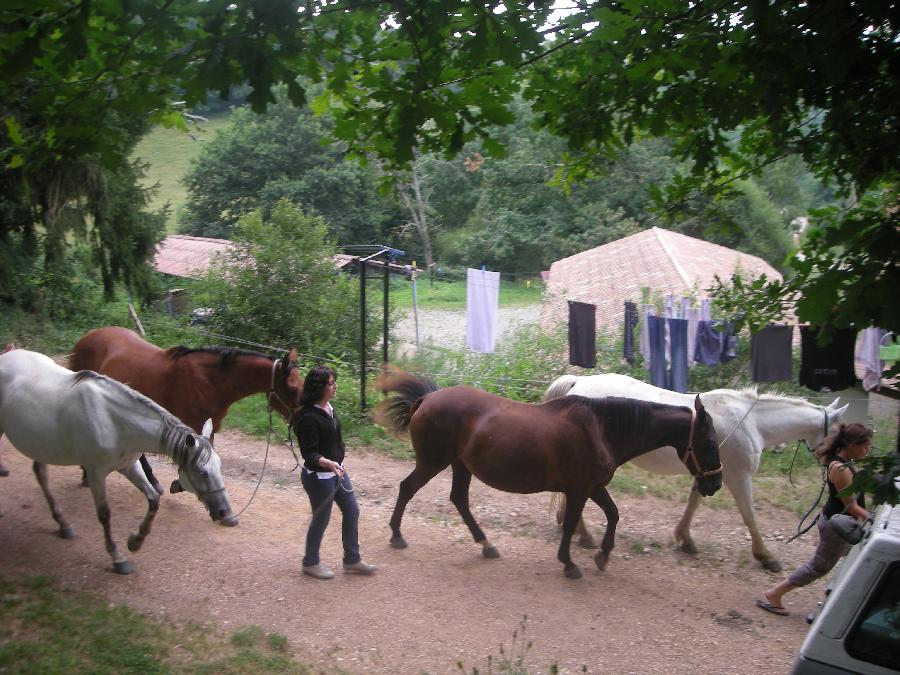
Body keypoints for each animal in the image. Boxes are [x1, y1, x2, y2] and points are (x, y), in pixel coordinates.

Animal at [0, 348, 232, 576]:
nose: (225, 512)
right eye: (202, 472)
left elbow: (154, 499)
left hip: (42, 445)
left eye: (219, 467)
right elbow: (104, 515)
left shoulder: (129, 466)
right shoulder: (95, 473)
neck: (113, 422)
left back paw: (63, 524)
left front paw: (136, 541)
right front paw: (118, 558)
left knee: (40, 473)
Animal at [69, 328, 302, 524]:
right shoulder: (195, 427)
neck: (210, 381)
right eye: (292, 389)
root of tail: (87, 337)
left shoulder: (208, 428)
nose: (301, 419)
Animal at [374, 370, 724, 580]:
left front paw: (602, 555)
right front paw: (569, 563)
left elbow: (613, 514)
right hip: (433, 462)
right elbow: (571, 524)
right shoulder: (580, 490)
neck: (602, 429)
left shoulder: (593, 487)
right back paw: (397, 535)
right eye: (708, 442)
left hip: (460, 465)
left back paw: (486, 544)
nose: (715, 483)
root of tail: (427, 399)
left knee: (459, 499)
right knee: (407, 488)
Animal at [544, 372, 848, 572]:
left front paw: (685, 539)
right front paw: (766, 556)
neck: (752, 422)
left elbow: (694, 502)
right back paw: (582, 534)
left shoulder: (708, 472)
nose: (842, 467)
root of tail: (578, 382)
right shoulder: (738, 477)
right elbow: (750, 516)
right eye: (839, 432)